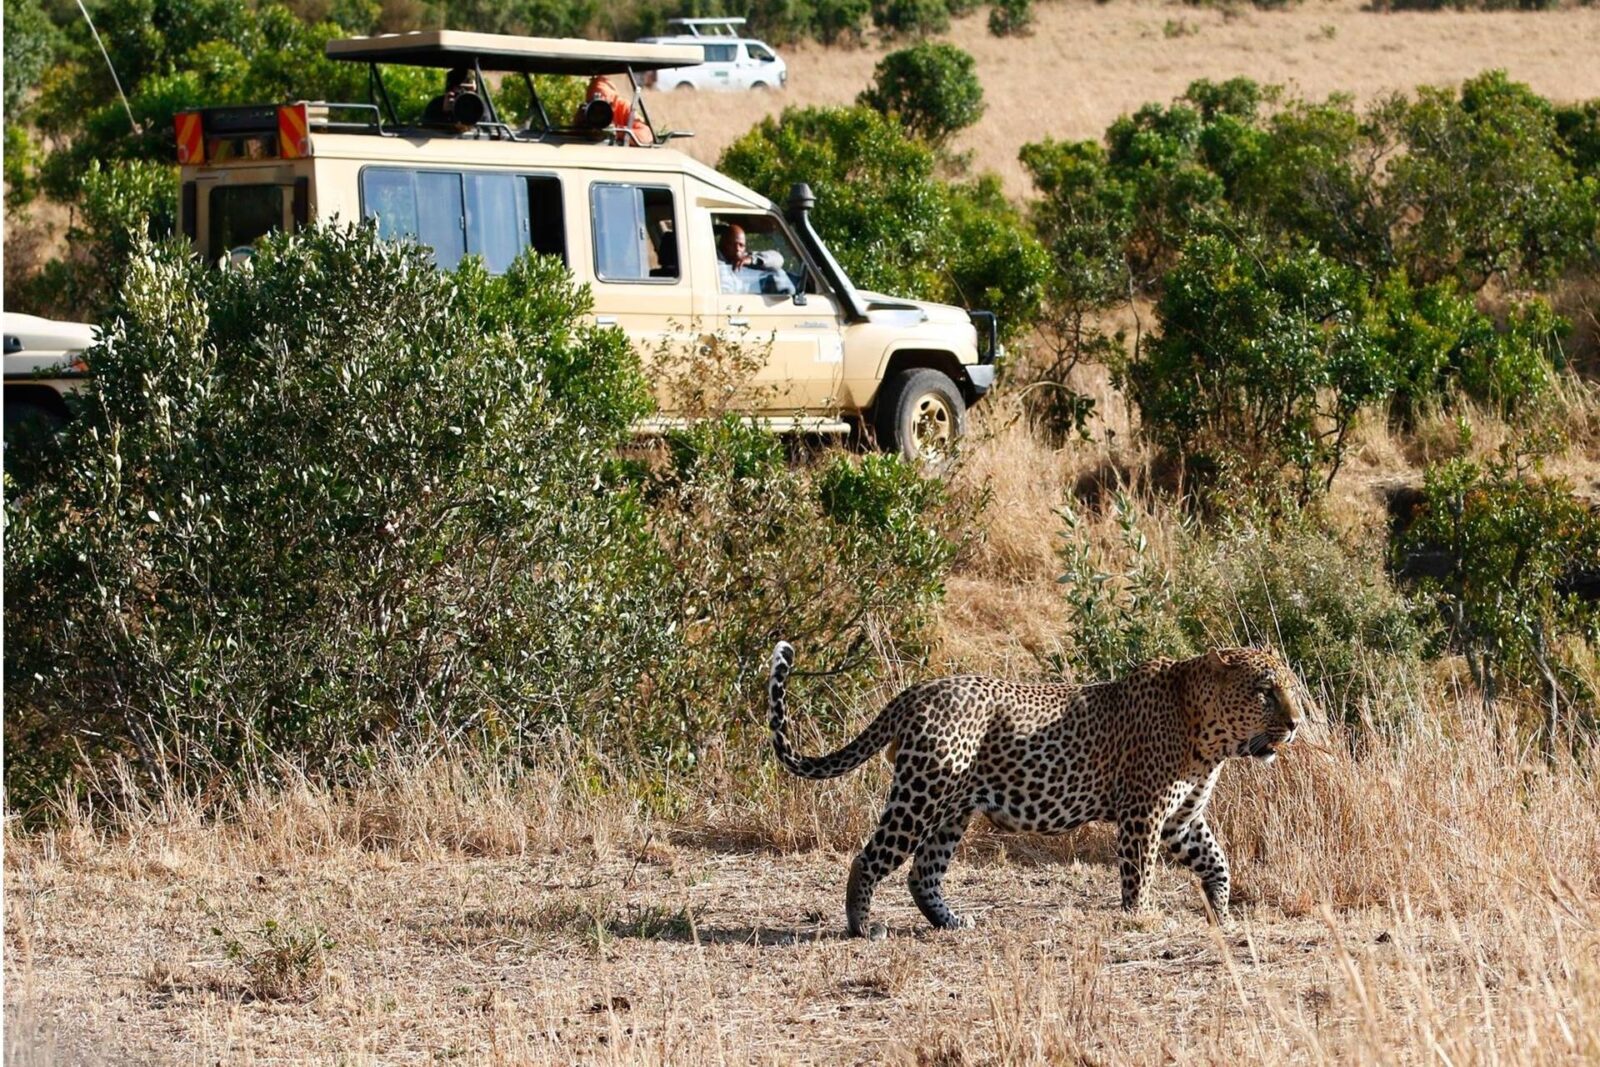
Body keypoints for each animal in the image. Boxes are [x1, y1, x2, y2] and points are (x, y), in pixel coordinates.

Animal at [767, 642, 1305, 939]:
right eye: (1264, 692)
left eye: (1289, 688)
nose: (1297, 723)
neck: (1210, 741)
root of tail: (917, 691)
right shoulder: (1144, 815)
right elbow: (1139, 873)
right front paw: (1141, 918)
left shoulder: (1182, 820)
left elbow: (1217, 860)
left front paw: (1221, 911)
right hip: (922, 793)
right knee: (870, 858)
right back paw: (861, 928)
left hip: (952, 808)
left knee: (923, 873)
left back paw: (951, 922)